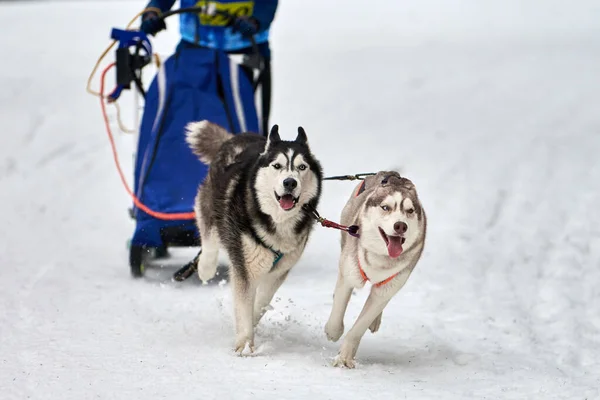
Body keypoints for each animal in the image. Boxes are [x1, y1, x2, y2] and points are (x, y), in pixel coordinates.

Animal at [185, 120, 324, 354]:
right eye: (276, 166)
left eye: (302, 167)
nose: (290, 182)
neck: (277, 222)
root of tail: (238, 136)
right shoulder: (245, 267)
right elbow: (244, 303)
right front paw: (244, 346)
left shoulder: (278, 271)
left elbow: (260, 303)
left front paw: (250, 328)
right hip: (212, 203)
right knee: (209, 236)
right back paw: (205, 267)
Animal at [324, 170, 426, 368]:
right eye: (386, 207)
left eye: (410, 211)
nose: (400, 225)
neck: (380, 260)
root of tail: (390, 173)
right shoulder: (350, 273)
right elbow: (339, 307)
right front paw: (333, 331)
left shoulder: (388, 286)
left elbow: (360, 326)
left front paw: (345, 357)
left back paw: (375, 320)